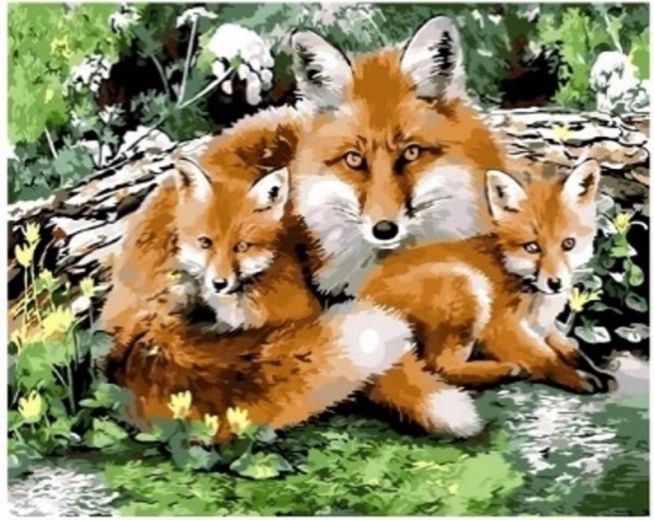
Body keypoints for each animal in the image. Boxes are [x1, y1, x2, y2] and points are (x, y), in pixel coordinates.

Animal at [357, 159, 617, 396]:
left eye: (568, 244)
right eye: (532, 247)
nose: (555, 283)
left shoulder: (544, 327)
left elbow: (572, 350)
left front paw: (596, 371)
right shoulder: (499, 329)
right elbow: (548, 358)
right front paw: (578, 378)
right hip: (468, 288)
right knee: (439, 368)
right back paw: (504, 371)